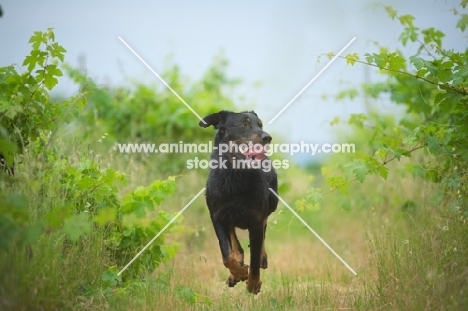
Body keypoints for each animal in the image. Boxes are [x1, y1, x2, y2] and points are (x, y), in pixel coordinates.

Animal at [200, 111, 278, 294]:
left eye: (260, 124)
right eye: (243, 124)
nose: (267, 137)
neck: (235, 175)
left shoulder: (255, 220)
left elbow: (254, 258)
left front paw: (253, 283)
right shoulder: (216, 216)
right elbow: (226, 253)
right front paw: (240, 272)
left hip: (272, 201)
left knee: (264, 228)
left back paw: (261, 258)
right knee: (234, 242)